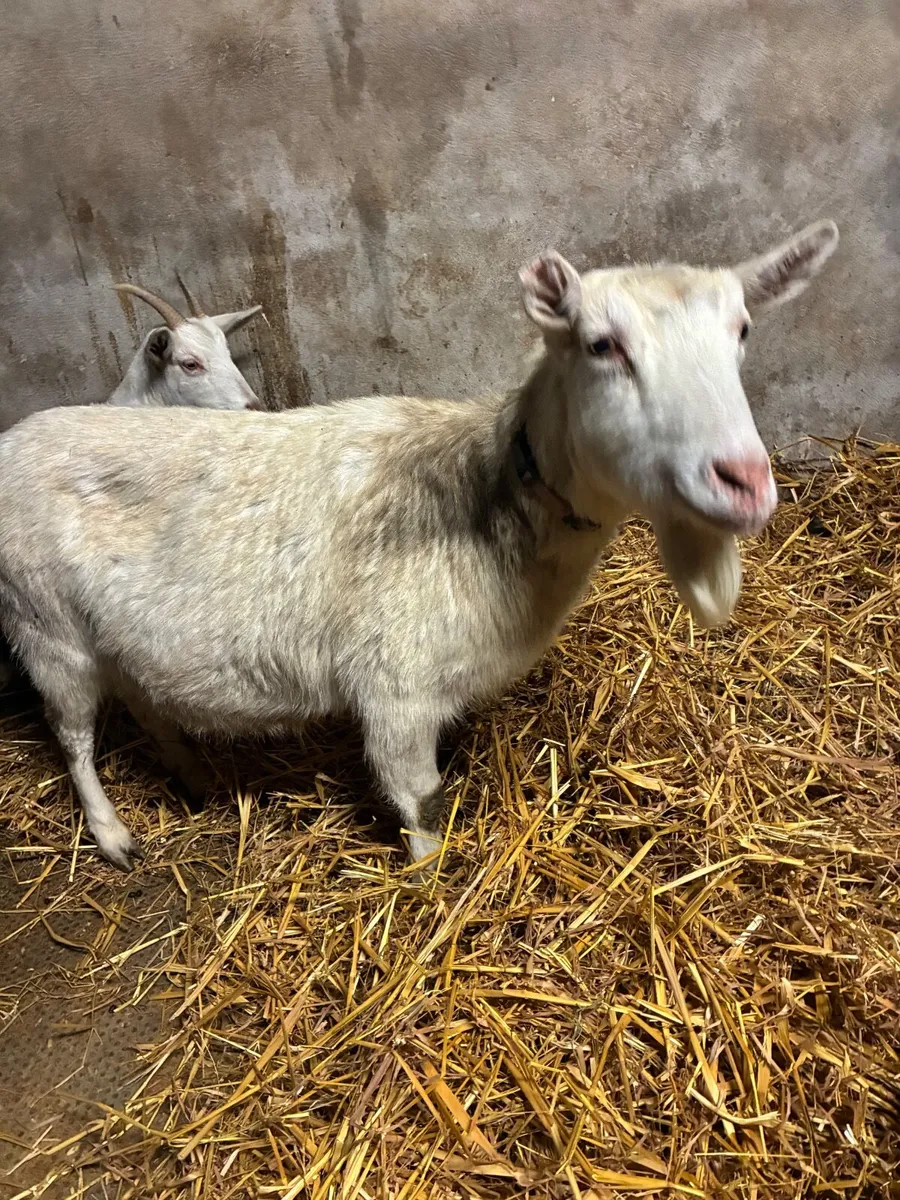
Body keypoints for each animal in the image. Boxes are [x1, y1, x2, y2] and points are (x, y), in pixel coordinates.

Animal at [0, 221, 838, 871]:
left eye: (742, 332)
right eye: (602, 345)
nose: (743, 479)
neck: (485, 498)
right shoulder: (394, 691)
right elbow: (420, 802)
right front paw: (433, 881)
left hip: (114, 636)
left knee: (143, 699)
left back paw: (191, 775)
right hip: (44, 626)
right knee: (72, 737)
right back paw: (113, 836)